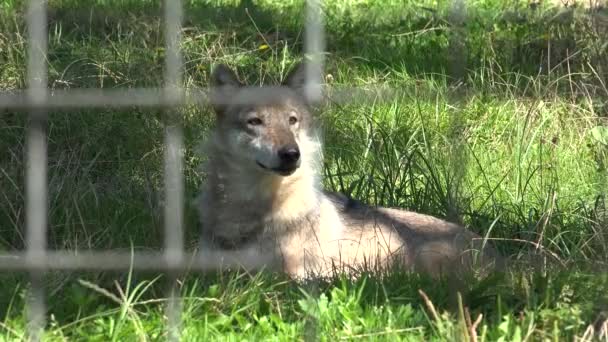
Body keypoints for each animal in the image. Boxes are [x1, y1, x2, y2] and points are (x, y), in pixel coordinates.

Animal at [197, 62, 502, 280]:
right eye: (255, 121)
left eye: (292, 120)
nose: (291, 154)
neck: (254, 211)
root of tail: (502, 260)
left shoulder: (290, 275)